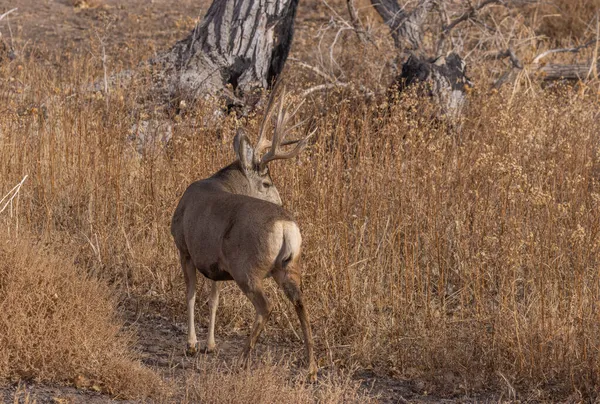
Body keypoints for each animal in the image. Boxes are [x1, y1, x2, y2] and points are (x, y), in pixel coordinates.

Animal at [170, 87, 318, 380]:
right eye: (267, 182)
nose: (281, 200)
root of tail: (286, 227)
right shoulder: (212, 263)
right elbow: (213, 299)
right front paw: (209, 345)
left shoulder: (185, 249)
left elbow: (190, 294)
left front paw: (192, 345)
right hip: (289, 268)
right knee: (301, 303)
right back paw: (311, 368)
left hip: (247, 268)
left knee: (265, 307)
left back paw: (241, 359)